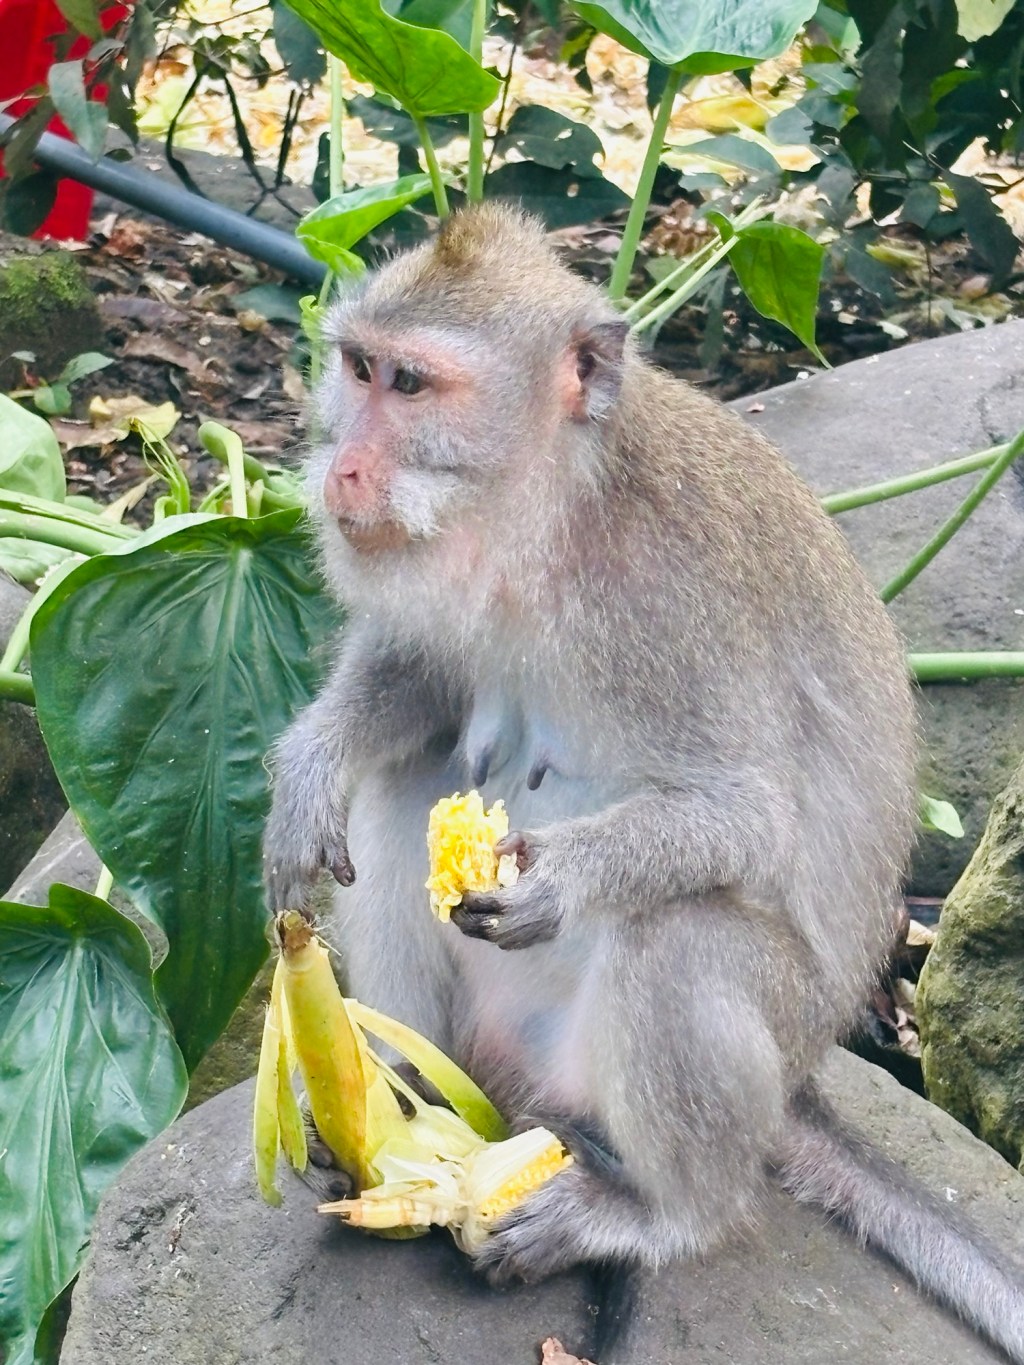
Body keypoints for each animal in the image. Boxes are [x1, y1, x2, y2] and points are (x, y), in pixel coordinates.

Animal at [263, 202, 1024, 1361]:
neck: (553, 520)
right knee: (406, 786)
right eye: (356, 368)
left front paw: (565, 879)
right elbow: (422, 684)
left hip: (742, 1040)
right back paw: (403, 1085)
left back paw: (664, 1213)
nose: (341, 468)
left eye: (412, 385)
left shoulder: (669, 606)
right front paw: (310, 765)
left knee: (682, 935)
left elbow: (748, 816)